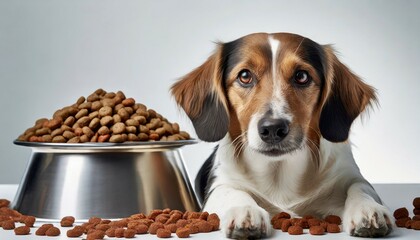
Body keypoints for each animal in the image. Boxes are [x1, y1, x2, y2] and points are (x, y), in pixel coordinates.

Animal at [171, 32, 394, 239]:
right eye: (245, 76)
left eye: (301, 76)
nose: (273, 128)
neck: (278, 171)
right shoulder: (220, 184)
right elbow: (233, 191)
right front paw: (245, 211)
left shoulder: (349, 175)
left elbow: (360, 188)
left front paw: (368, 210)